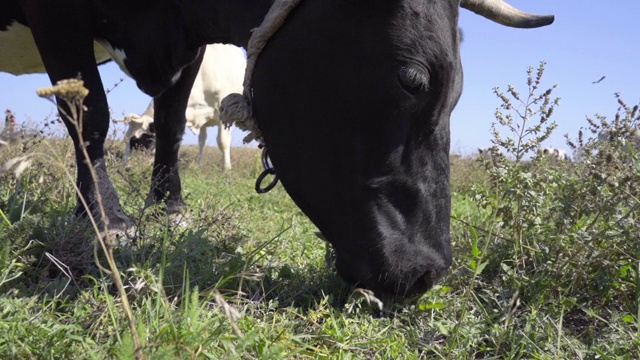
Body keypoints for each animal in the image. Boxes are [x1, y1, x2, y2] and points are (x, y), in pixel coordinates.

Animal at [0, 0, 552, 298]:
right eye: (411, 79)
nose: (428, 272)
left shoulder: (189, 54)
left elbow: (173, 125)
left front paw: (167, 207)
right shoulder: (56, 16)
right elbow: (88, 112)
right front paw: (105, 215)